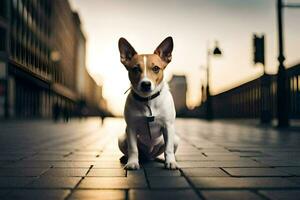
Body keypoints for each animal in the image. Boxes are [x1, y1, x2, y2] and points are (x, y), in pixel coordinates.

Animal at [116, 36, 178, 170]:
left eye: (156, 68)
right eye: (135, 69)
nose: (146, 84)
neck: (148, 100)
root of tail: (149, 157)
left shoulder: (168, 126)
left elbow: (168, 149)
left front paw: (170, 162)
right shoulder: (131, 128)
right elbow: (133, 149)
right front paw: (132, 163)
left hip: (176, 139)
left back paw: (162, 159)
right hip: (121, 139)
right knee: (134, 152)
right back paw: (127, 158)